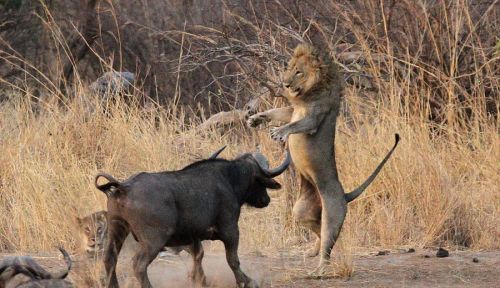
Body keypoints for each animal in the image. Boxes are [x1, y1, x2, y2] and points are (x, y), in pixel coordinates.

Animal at [95, 148, 292, 288]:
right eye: (259, 180)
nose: (266, 200)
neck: (229, 179)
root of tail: (123, 187)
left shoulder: (194, 236)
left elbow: (199, 255)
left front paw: (200, 280)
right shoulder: (230, 230)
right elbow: (232, 260)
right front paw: (247, 281)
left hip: (117, 230)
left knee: (109, 258)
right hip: (153, 240)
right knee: (139, 264)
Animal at [248, 43, 400, 274]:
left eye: (298, 72)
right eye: (289, 68)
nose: (285, 83)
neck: (308, 92)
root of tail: (345, 195)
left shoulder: (313, 118)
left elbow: (296, 124)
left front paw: (279, 132)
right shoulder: (292, 109)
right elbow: (278, 111)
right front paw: (256, 119)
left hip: (332, 212)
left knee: (329, 239)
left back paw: (318, 270)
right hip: (301, 210)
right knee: (318, 232)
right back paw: (313, 251)